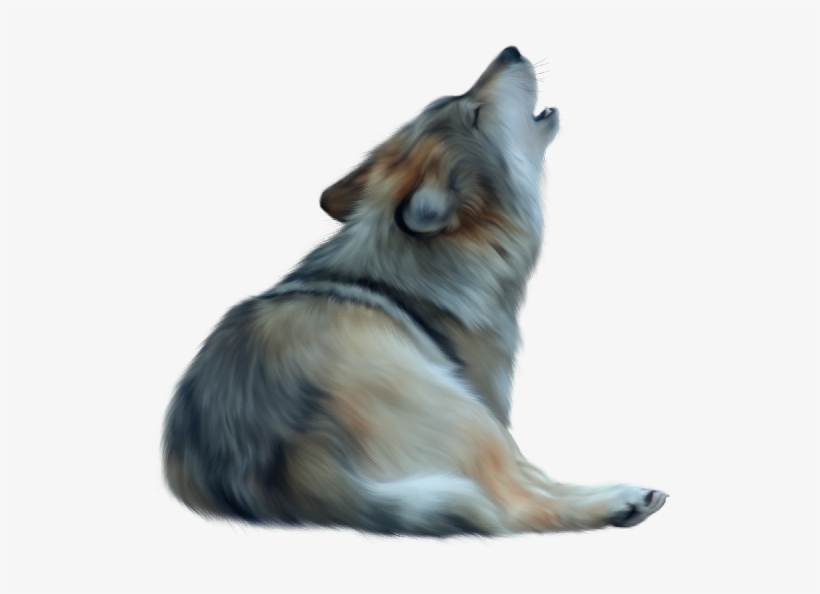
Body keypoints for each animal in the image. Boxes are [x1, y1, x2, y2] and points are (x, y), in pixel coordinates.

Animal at [162, 47, 667, 535]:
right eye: (475, 113)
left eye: (459, 100)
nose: (511, 50)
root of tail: (281, 464)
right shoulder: (491, 405)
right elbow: (530, 481)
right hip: (467, 412)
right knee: (516, 508)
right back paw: (623, 501)